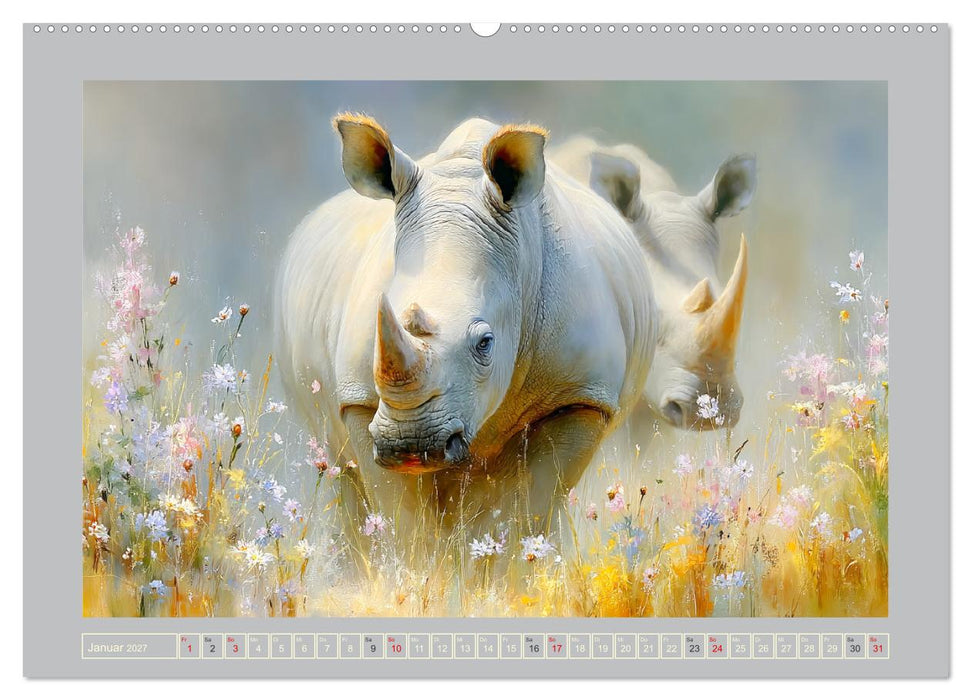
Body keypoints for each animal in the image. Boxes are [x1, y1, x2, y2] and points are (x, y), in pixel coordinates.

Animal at [276, 116, 657, 559]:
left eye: (485, 343)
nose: (410, 443)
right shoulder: (360, 401)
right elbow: (401, 518)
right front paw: (419, 567)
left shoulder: (580, 396)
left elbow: (528, 508)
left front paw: (505, 565)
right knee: (346, 474)